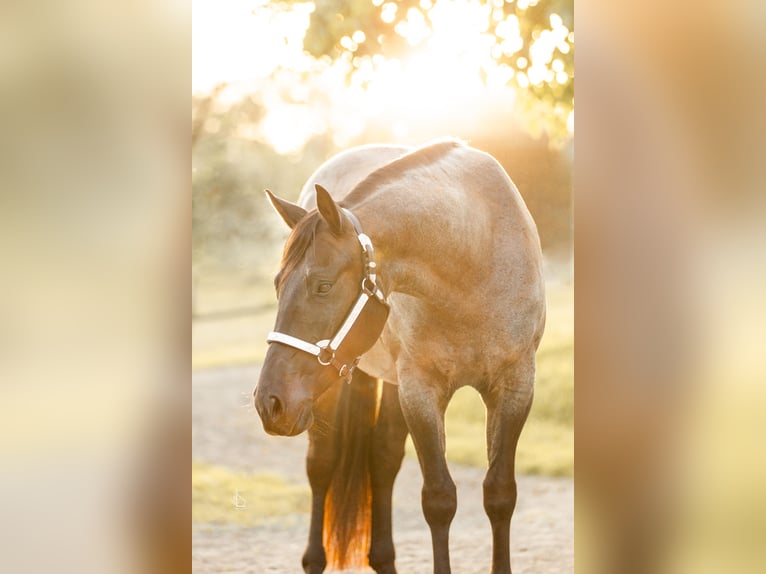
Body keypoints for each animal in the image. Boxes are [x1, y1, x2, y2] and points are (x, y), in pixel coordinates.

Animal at [255, 141, 548, 574]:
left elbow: (500, 493)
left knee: (383, 457)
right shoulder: (420, 392)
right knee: (322, 463)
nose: (268, 403)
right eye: (277, 285)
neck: (473, 257)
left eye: (322, 285)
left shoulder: (515, 389)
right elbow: (439, 500)